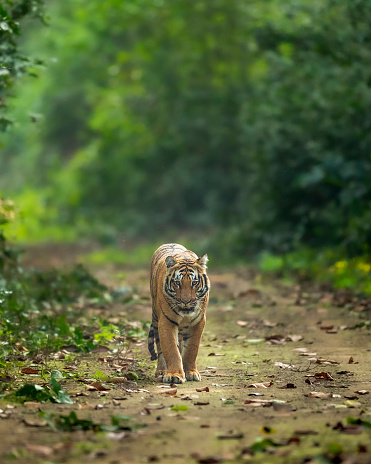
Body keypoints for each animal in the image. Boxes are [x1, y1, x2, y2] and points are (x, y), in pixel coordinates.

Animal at [149, 243, 212, 384]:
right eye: (177, 283)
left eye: (194, 283)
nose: (186, 301)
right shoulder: (166, 321)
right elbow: (171, 348)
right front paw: (174, 375)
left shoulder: (198, 321)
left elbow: (191, 349)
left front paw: (191, 373)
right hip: (156, 317)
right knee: (160, 347)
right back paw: (161, 371)